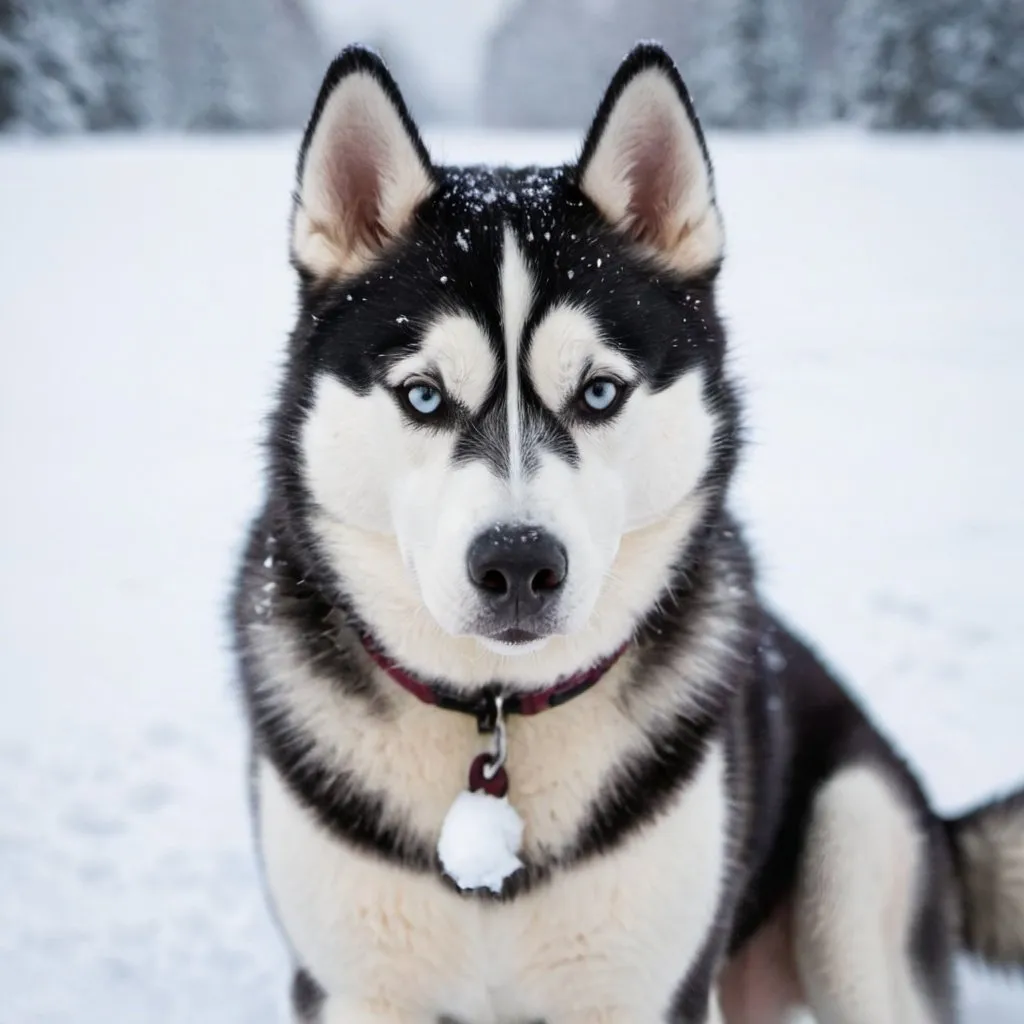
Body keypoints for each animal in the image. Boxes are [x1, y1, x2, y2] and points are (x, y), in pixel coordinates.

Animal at [232, 41, 1024, 1024]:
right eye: (423, 394)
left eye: (600, 391)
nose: (518, 567)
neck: (497, 720)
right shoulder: (353, 987)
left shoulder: (646, 990)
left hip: (854, 857)